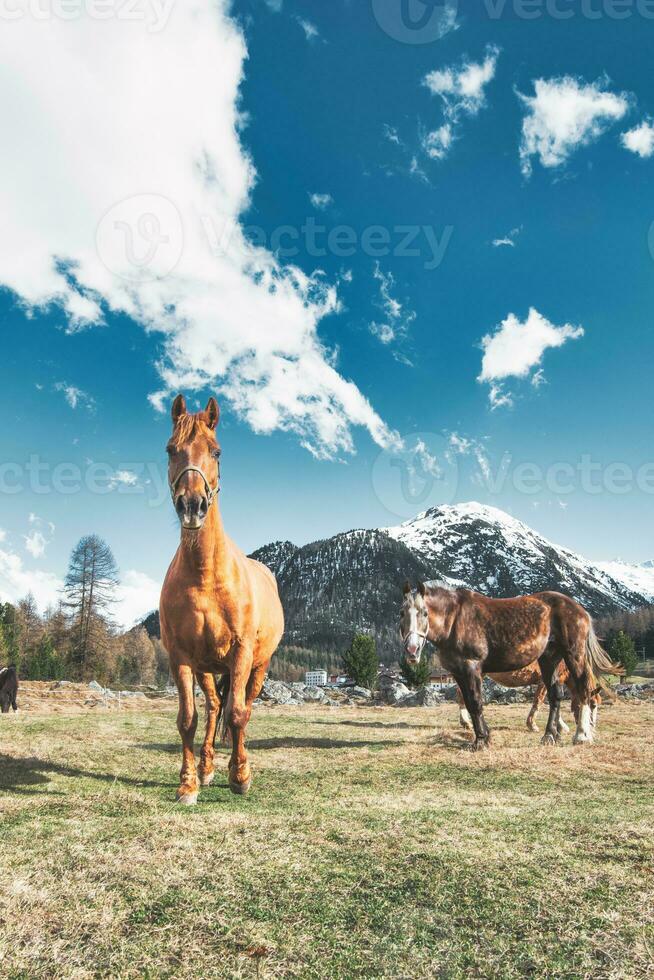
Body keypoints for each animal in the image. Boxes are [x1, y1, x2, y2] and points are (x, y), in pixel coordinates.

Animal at [161, 394, 284, 800]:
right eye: (171, 450)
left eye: (216, 452)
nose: (192, 505)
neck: (205, 576)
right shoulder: (181, 657)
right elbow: (188, 719)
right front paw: (188, 782)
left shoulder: (242, 652)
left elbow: (238, 714)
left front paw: (241, 775)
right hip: (206, 667)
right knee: (214, 707)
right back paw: (207, 766)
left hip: (257, 666)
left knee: (240, 706)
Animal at [400, 580, 620, 752]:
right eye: (402, 613)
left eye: (425, 613)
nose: (412, 650)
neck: (454, 620)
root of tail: (580, 610)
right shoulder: (458, 673)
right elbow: (470, 703)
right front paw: (483, 736)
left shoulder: (472, 668)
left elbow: (476, 702)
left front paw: (481, 740)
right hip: (549, 660)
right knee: (556, 695)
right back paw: (551, 736)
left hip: (574, 655)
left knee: (582, 689)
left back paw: (581, 735)